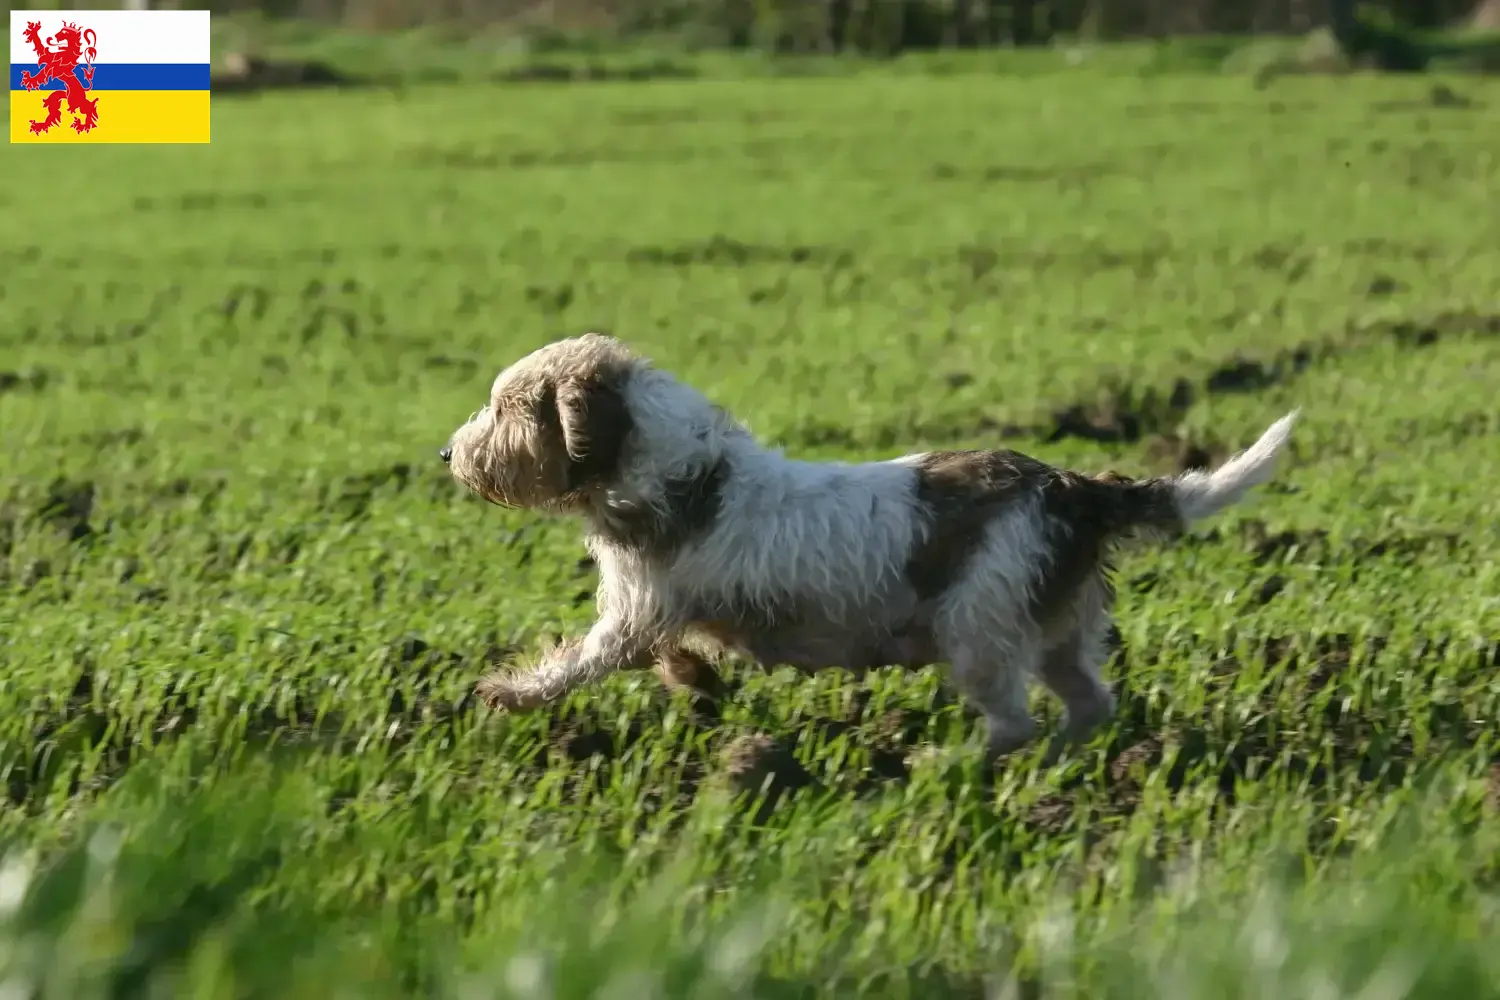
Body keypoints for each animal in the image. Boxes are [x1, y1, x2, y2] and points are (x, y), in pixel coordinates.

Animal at [438, 332, 1296, 761]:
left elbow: (580, 661)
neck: (680, 470)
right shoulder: (660, 613)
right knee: (1088, 699)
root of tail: (1072, 487)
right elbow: (670, 654)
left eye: (507, 408)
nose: (447, 454)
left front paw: (507, 693)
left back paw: (954, 763)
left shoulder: (633, 613)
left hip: (979, 627)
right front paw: (697, 681)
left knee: (1013, 720)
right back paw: (1071, 758)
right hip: (1055, 624)